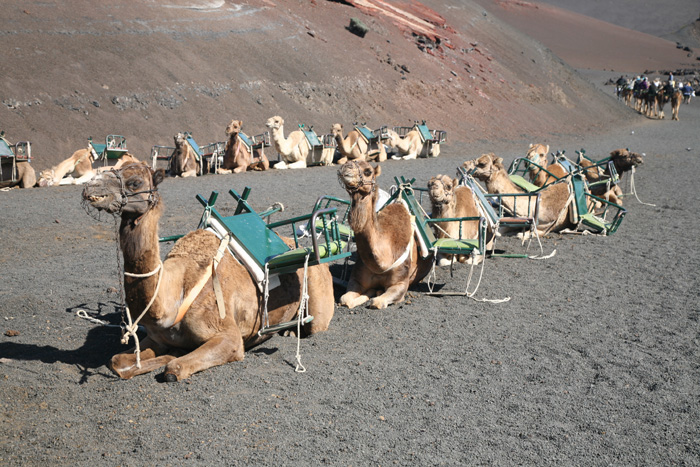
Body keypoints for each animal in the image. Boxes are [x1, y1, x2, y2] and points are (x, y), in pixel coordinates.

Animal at [82, 163, 334, 382]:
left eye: (134, 182)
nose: (90, 187)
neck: (174, 293)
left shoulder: (228, 336)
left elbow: (174, 368)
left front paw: (173, 356)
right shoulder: (155, 338)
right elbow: (116, 361)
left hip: (318, 298)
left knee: (316, 324)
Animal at [334, 159, 430, 308]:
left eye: (368, 171)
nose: (346, 168)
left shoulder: (400, 283)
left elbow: (377, 302)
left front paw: (375, 294)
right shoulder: (356, 279)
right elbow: (345, 299)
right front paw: (370, 292)